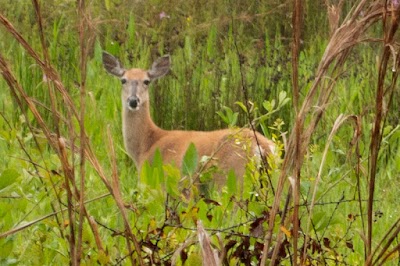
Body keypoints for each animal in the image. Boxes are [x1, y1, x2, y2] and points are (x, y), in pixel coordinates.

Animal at [102, 52, 276, 187]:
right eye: (123, 80)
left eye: (146, 81)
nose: (133, 101)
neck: (145, 145)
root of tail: (262, 147)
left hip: (231, 177)